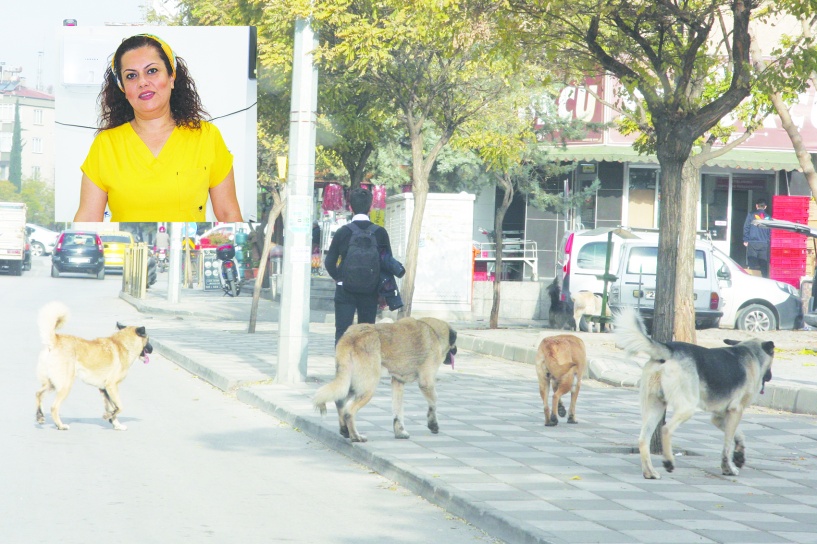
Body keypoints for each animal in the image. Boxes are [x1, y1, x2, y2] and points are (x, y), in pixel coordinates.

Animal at [34, 300, 152, 432]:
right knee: (54, 407)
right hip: (65, 385)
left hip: (52, 383)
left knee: (38, 394)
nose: (152, 349)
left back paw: (40, 416)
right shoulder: (112, 386)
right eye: (149, 340)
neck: (122, 344)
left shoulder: (105, 389)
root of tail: (55, 340)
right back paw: (60, 425)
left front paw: (116, 424)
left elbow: (114, 408)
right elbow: (119, 407)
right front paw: (108, 416)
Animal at [312, 318, 456, 442]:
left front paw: (399, 432)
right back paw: (356, 436)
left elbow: (398, 410)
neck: (434, 331)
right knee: (349, 411)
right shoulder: (426, 383)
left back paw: (344, 431)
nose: (455, 352)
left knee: (340, 401)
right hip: (368, 386)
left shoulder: (398, 383)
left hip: (352, 382)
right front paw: (433, 424)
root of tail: (351, 335)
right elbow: (433, 402)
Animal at [616, 306, 776, 480]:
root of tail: (669, 350)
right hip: (686, 407)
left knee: (643, 439)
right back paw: (668, 461)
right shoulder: (735, 411)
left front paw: (739, 456)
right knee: (666, 429)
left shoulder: (719, 417)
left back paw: (649, 472)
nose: (770, 376)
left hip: (655, 407)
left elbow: (739, 435)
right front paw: (728, 468)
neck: (750, 352)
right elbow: (727, 445)